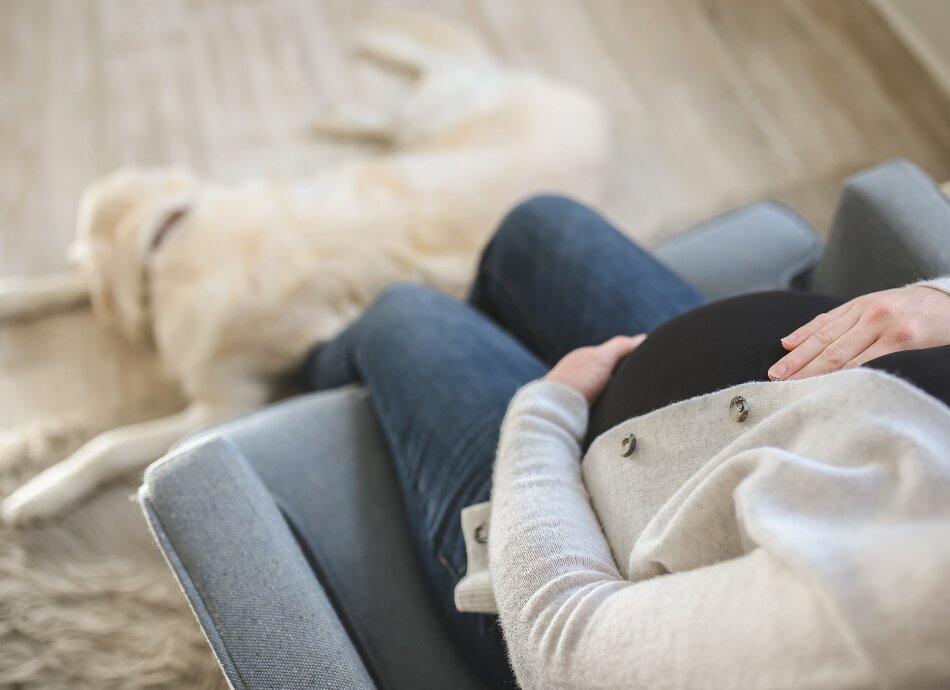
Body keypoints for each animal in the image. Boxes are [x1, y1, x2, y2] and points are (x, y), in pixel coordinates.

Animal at [0, 13, 608, 524]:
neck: (172, 240)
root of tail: (589, 108)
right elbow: (60, 287)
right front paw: (16, 294)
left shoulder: (223, 402)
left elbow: (109, 442)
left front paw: (37, 493)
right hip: (430, 122)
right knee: (443, 73)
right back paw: (362, 87)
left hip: (440, 112)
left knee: (452, 68)